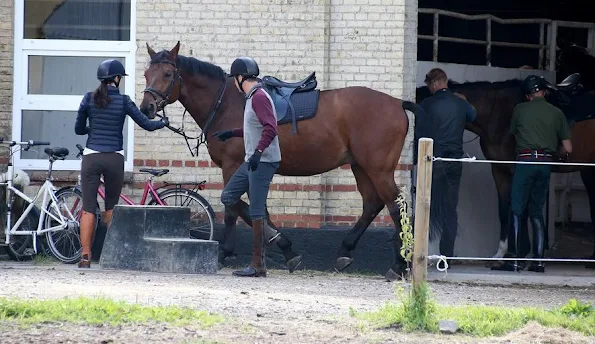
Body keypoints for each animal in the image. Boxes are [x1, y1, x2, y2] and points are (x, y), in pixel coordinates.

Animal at [137, 41, 422, 280]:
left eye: (168, 74)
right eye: (146, 74)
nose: (146, 108)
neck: (229, 104)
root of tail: (397, 103)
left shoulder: (234, 166)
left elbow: (239, 209)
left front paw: (258, 249)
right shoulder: (246, 169)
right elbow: (247, 210)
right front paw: (266, 249)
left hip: (378, 169)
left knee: (396, 206)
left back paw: (398, 265)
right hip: (360, 166)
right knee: (372, 204)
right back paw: (346, 251)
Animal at [416, 76, 595, 268]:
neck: (498, 114)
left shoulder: (518, 169)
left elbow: (520, 210)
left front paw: (520, 255)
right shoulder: (499, 169)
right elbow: (503, 210)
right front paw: (500, 254)